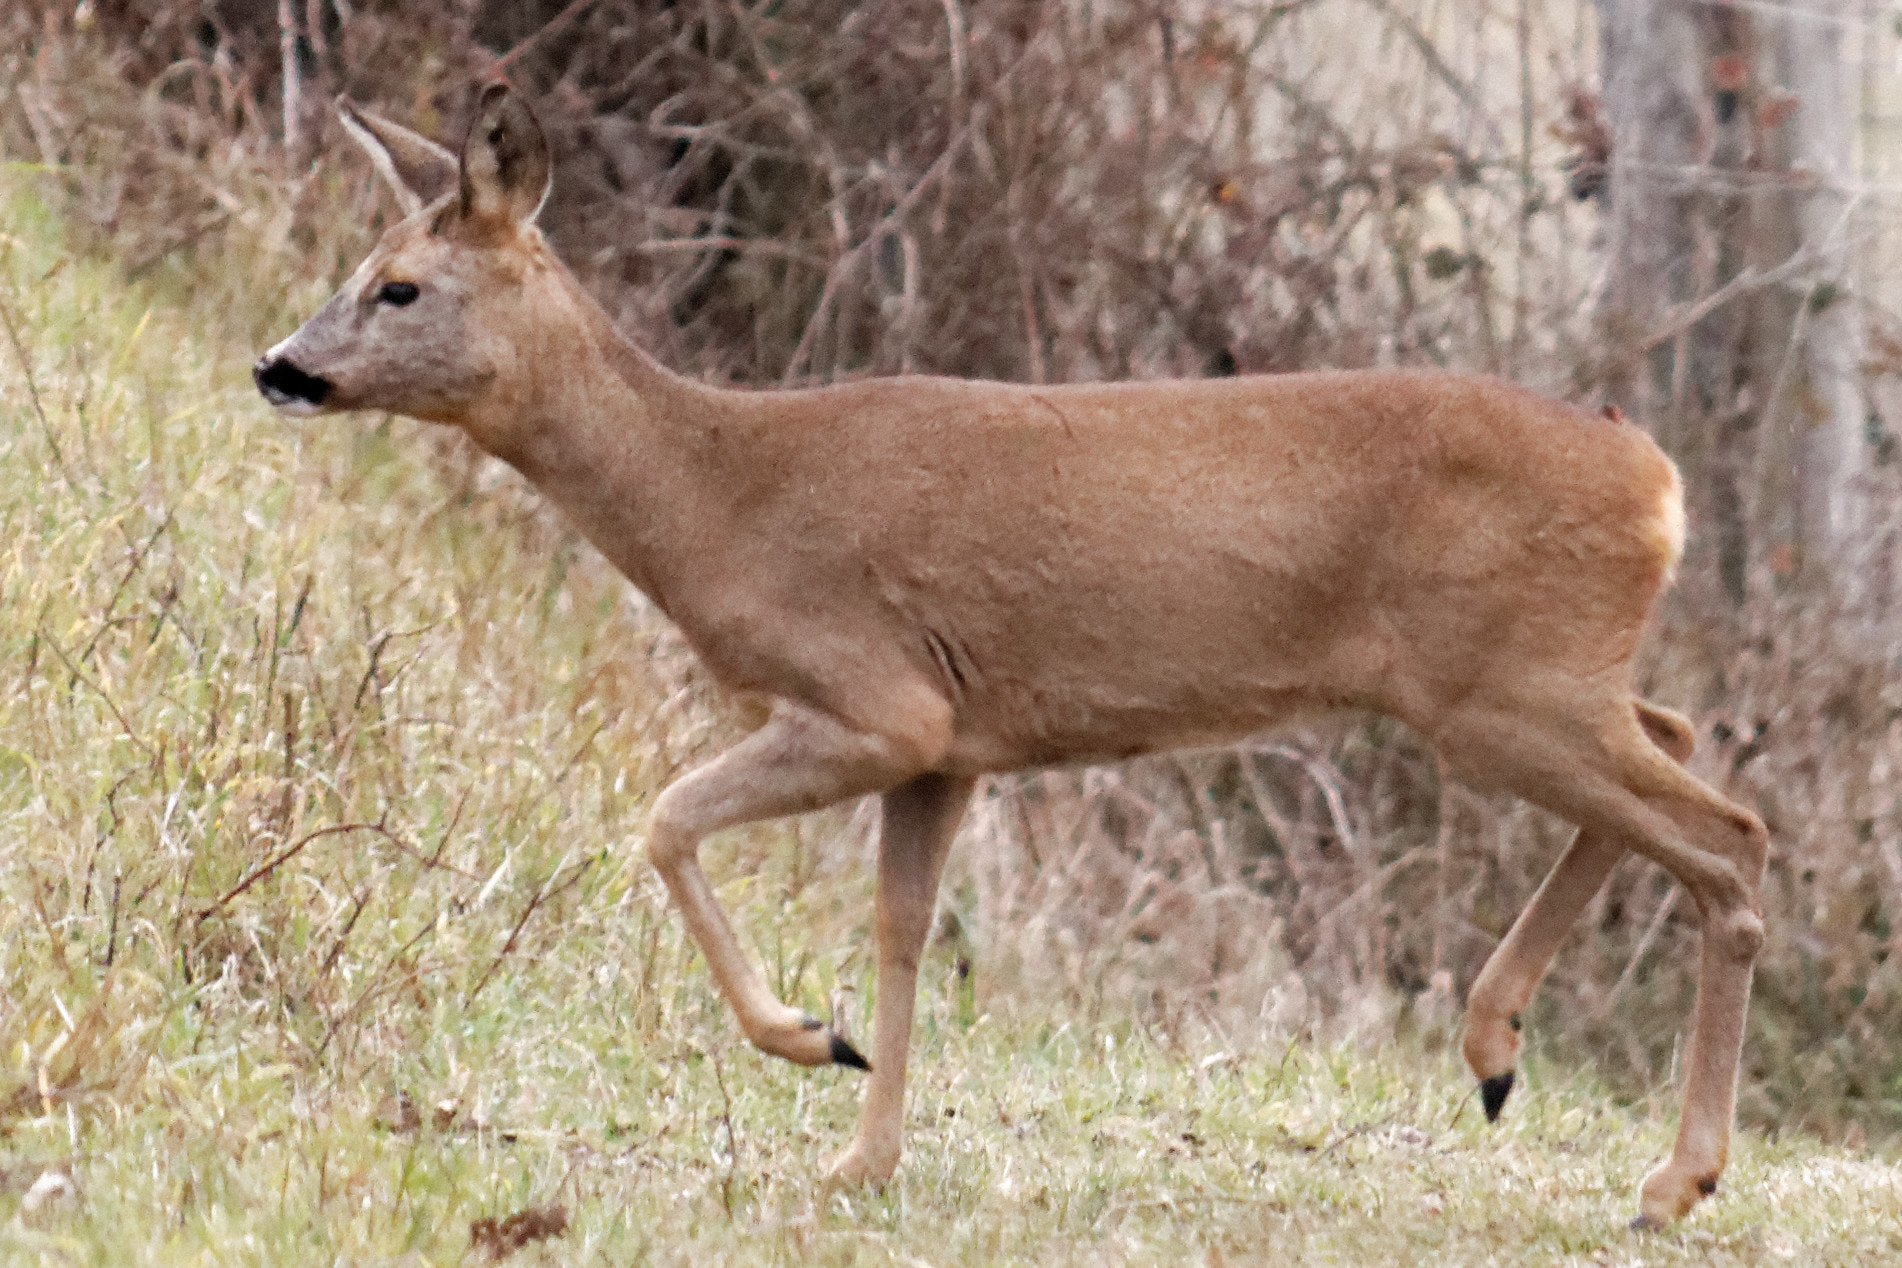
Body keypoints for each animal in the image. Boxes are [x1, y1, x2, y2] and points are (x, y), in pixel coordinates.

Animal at [252, 81, 1765, 1231]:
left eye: (399, 286)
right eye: (355, 274)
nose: (278, 365)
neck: (723, 496)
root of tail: (1659, 479)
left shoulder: (877, 700)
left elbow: (666, 819)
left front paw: (804, 1039)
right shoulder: (953, 745)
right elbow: (901, 924)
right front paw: (860, 1150)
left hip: (1502, 688)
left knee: (1730, 836)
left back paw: (1668, 1178)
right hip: (1534, 685)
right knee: (1685, 743)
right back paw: (1498, 1051)